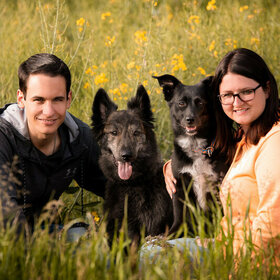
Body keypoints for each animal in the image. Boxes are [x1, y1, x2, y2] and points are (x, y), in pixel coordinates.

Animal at [154, 74, 229, 234]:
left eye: (200, 102)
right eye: (181, 103)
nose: (190, 119)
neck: (194, 146)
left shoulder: (216, 183)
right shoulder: (179, 187)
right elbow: (179, 217)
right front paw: (172, 234)